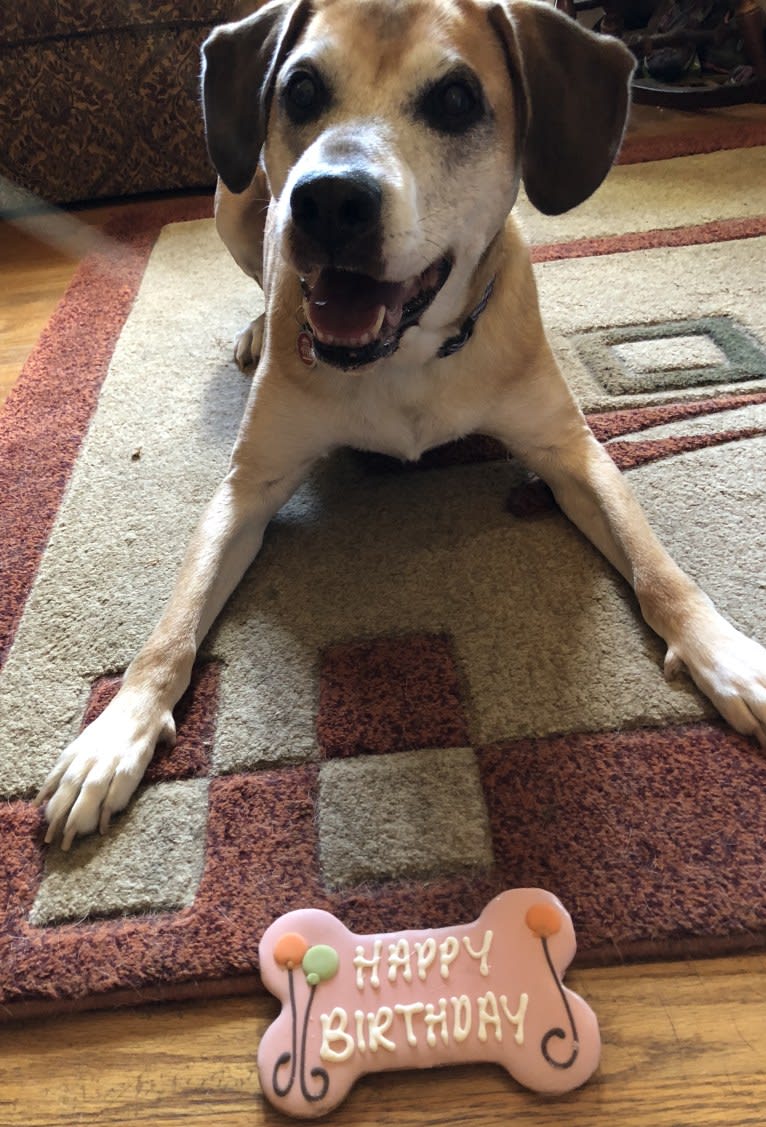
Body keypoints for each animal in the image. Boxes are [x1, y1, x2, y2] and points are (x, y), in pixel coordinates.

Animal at [34, 0, 766, 847]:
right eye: (301, 88)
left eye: (455, 99)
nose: (328, 201)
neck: (403, 356)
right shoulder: (245, 488)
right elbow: (171, 628)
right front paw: (115, 734)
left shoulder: (573, 452)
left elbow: (660, 570)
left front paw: (728, 656)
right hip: (233, 201)